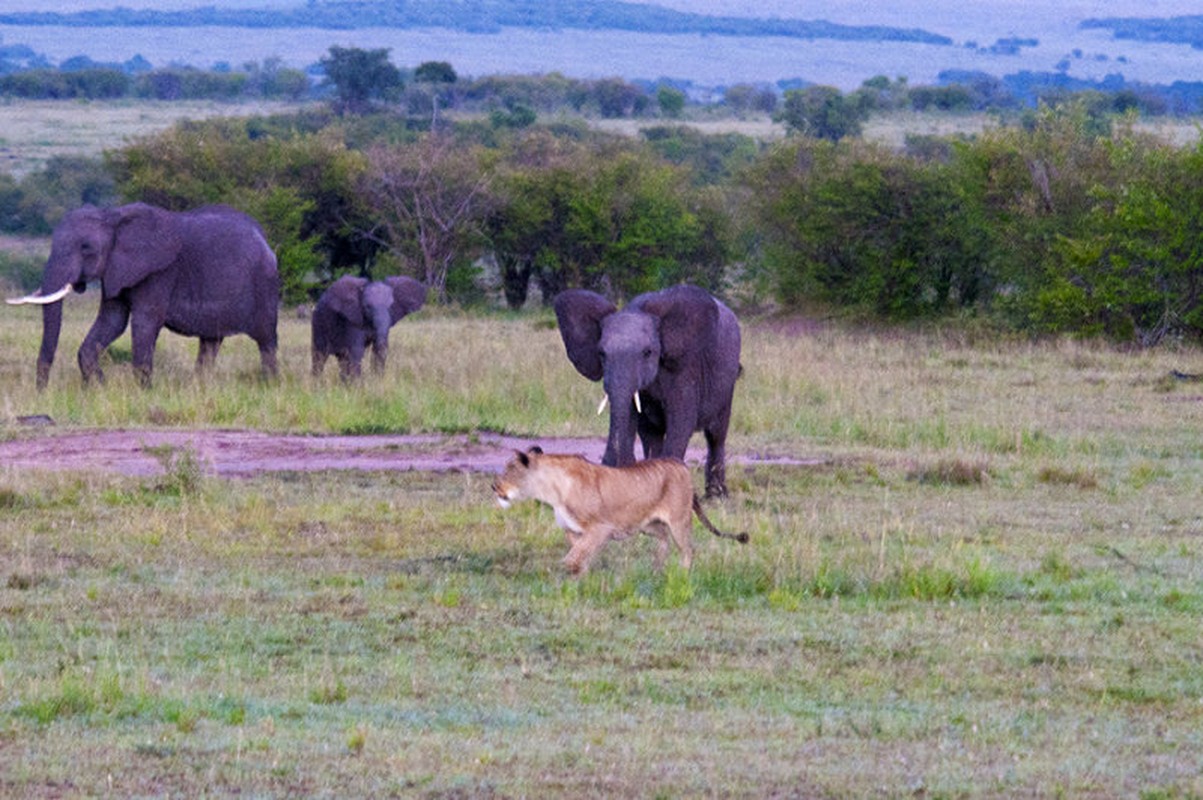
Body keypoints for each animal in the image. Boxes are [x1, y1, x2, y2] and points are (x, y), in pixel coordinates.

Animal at [5, 199, 280, 387]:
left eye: (85, 248)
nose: (42, 392)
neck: (113, 216)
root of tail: (265, 240)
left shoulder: (159, 273)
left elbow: (144, 323)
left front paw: (144, 392)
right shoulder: (116, 270)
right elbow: (112, 321)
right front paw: (100, 389)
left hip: (264, 284)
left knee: (266, 340)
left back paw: (270, 386)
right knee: (210, 342)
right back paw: (201, 387)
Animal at [553, 283, 741, 495]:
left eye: (647, 352)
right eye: (601, 353)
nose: (607, 463)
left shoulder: (684, 369)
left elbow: (681, 421)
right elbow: (635, 420)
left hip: (727, 382)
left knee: (716, 435)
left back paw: (717, 496)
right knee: (652, 433)